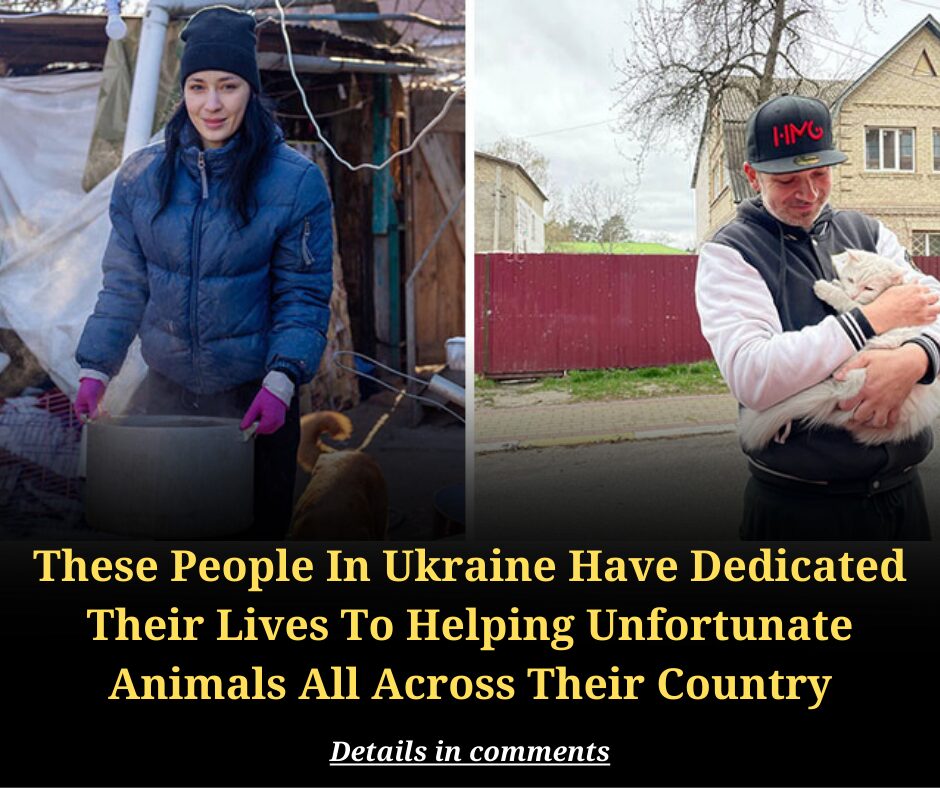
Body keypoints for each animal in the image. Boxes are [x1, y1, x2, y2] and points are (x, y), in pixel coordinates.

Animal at [740, 249, 936, 452]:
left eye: (868, 288)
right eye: (851, 279)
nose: (854, 293)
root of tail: (842, 391)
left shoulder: (861, 307)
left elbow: (844, 300)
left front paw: (826, 288)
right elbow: (844, 292)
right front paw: (837, 284)